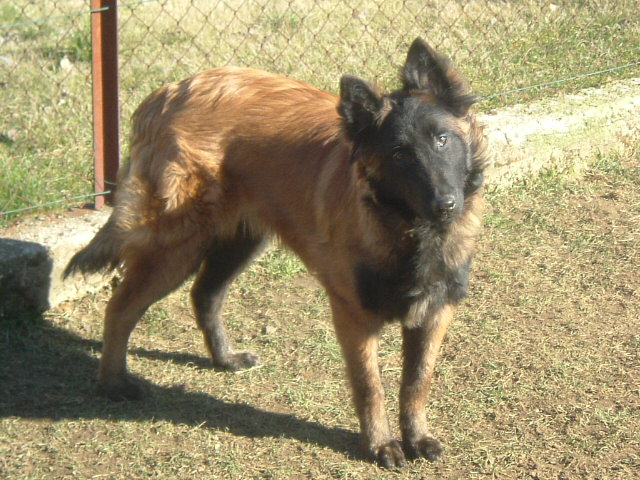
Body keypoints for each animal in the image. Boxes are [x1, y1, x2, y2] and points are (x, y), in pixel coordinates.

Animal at [63, 38, 484, 468]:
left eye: (442, 140)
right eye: (399, 154)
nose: (445, 205)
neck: (409, 228)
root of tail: (167, 93)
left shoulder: (436, 310)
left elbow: (417, 382)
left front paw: (417, 437)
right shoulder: (354, 314)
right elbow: (371, 386)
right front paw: (381, 444)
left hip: (239, 242)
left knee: (205, 295)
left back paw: (224, 358)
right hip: (176, 247)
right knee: (121, 307)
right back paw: (113, 383)